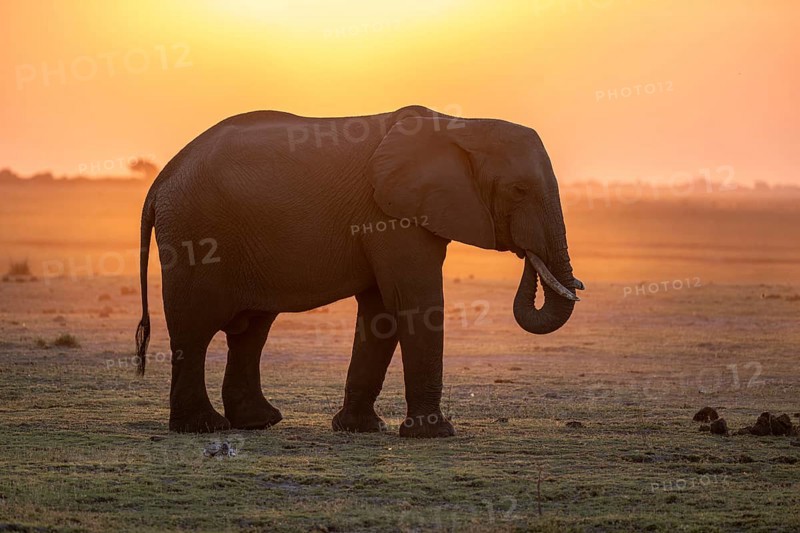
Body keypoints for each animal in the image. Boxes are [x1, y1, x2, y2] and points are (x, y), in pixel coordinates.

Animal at [134, 105, 583, 437]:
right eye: (519, 190)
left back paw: (258, 422)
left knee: (251, 331)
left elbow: (381, 311)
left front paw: (360, 429)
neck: (462, 126)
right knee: (195, 330)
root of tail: (161, 181)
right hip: (194, 236)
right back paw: (203, 428)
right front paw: (434, 434)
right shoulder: (391, 216)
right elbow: (413, 302)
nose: (526, 254)